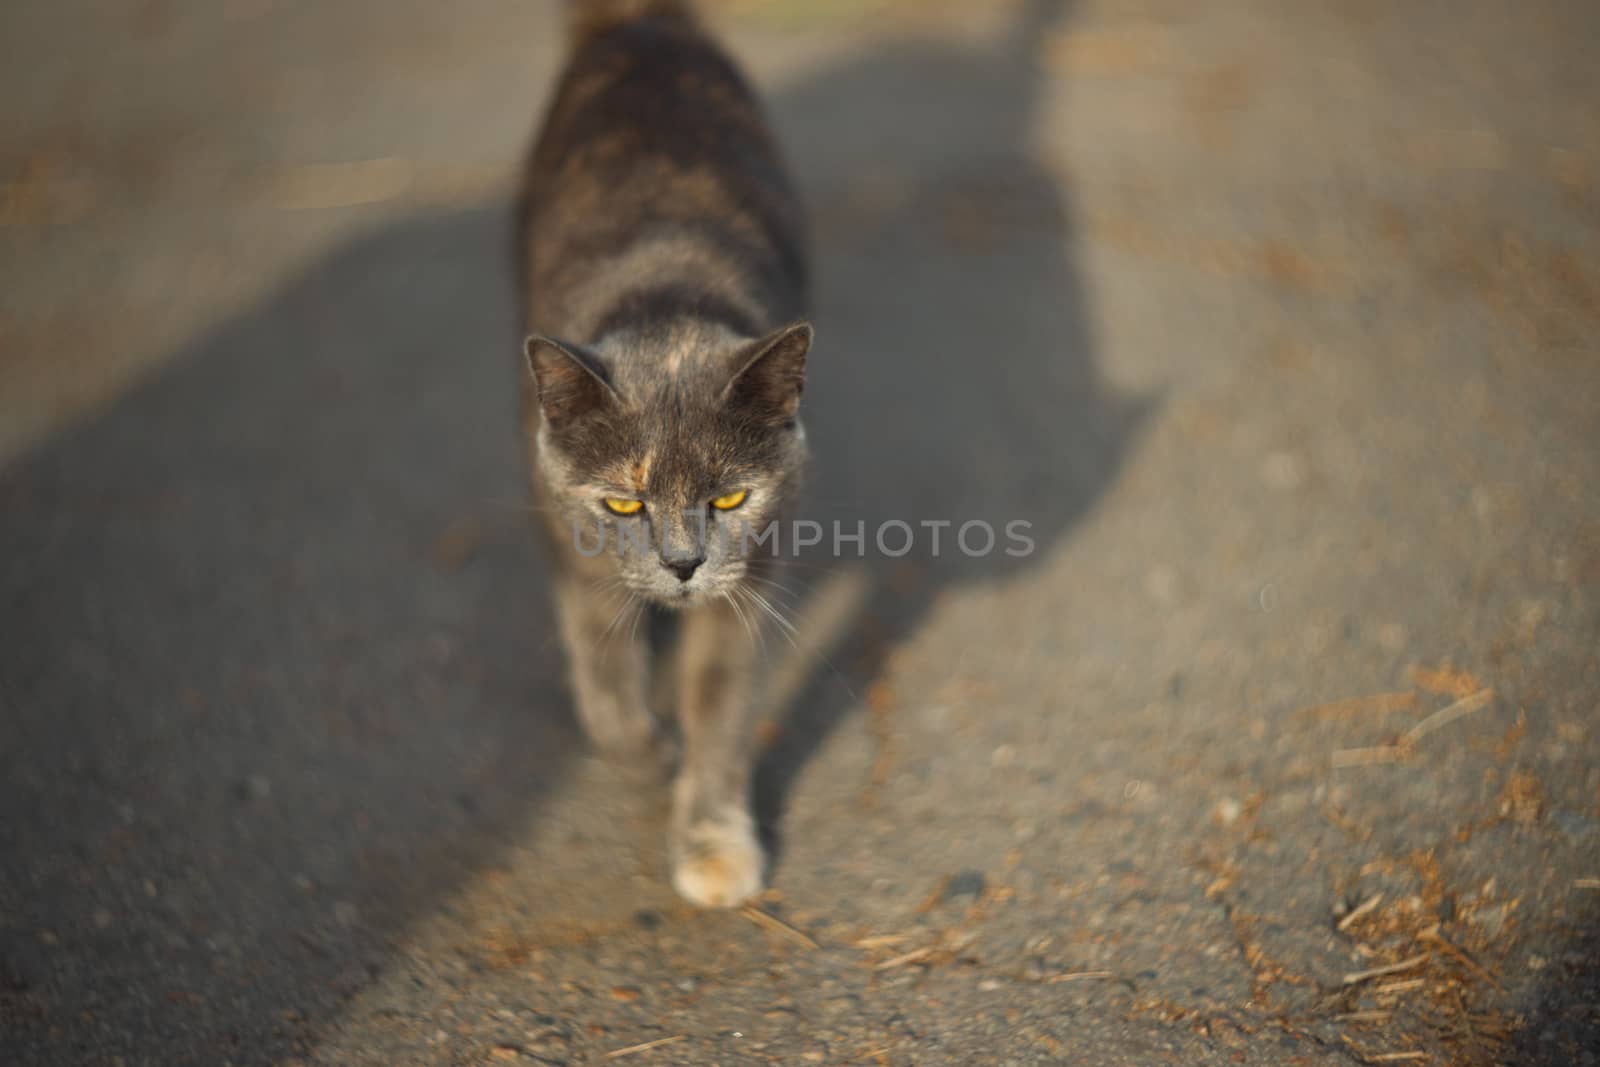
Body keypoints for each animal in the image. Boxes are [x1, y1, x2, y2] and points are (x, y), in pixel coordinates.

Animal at [518, 2, 812, 908]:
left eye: (729, 499)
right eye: (622, 501)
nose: (683, 564)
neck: (666, 298)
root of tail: (641, 22)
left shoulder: (751, 574)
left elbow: (722, 702)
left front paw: (713, 846)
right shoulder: (568, 543)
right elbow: (601, 681)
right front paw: (649, 755)